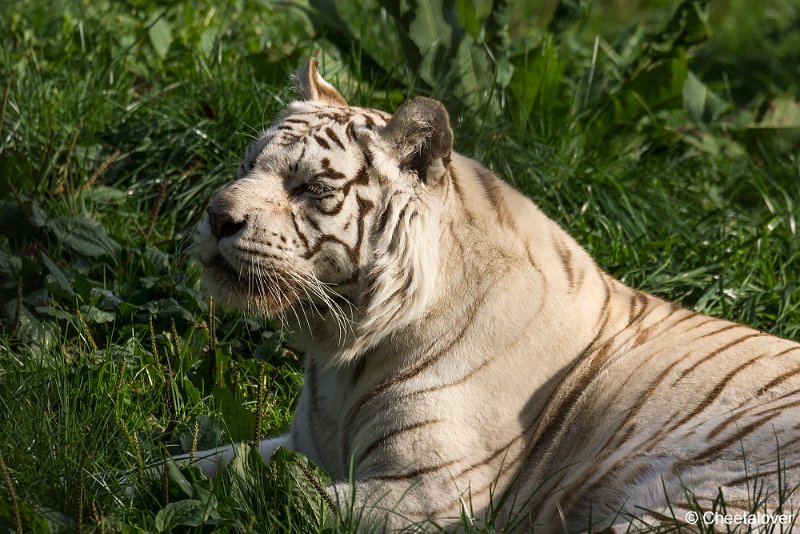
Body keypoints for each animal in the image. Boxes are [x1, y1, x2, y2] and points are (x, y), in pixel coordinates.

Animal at [189, 57, 800, 532]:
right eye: (248, 163)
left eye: (312, 188)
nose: (217, 217)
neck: (344, 348)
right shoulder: (303, 443)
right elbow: (200, 464)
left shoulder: (425, 491)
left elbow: (269, 497)